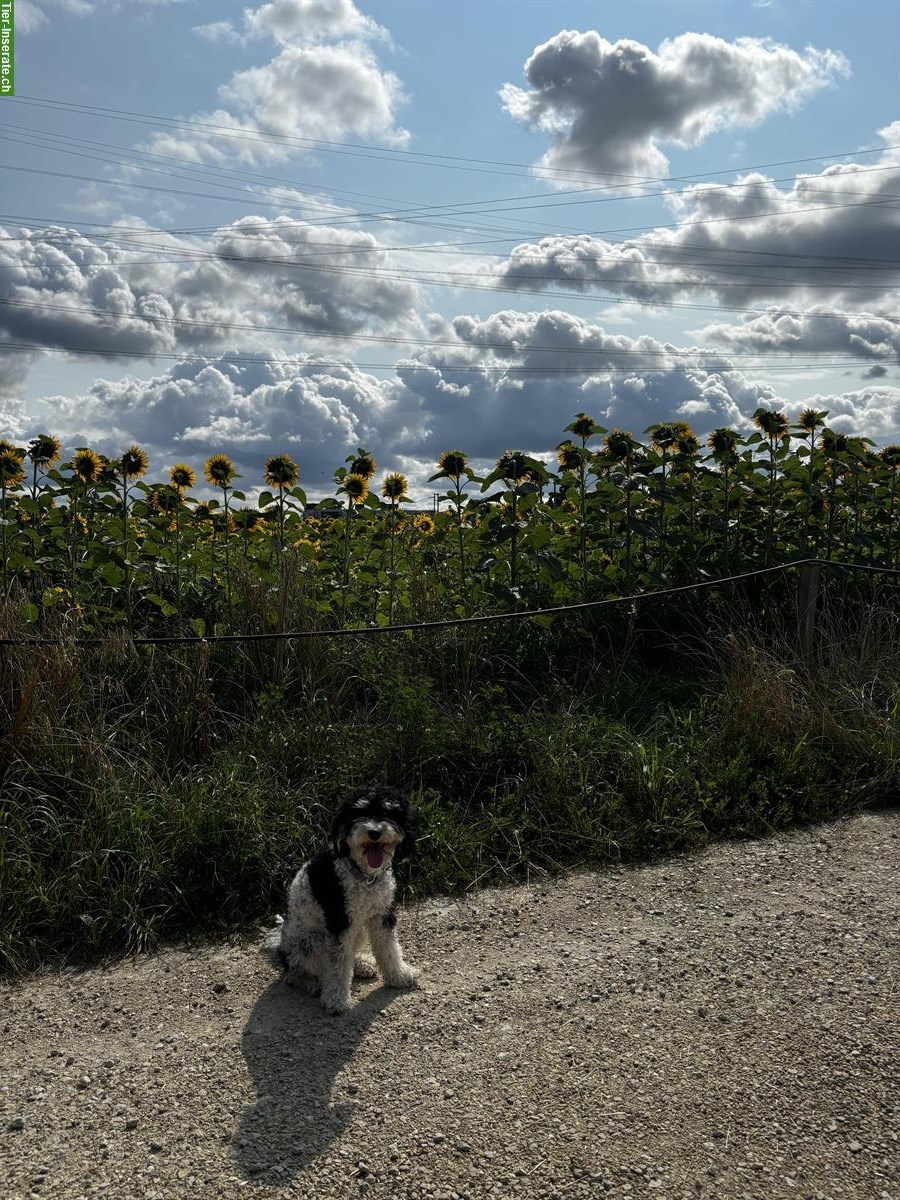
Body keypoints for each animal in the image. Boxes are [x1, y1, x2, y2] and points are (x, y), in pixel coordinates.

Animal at [267, 787, 422, 1012]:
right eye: (359, 813)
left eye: (387, 813)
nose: (374, 832)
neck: (363, 875)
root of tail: (280, 947)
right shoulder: (340, 922)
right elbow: (338, 966)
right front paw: (336, 999)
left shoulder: (382, 915)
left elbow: (389, 948)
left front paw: (400, 975)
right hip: (311, 942)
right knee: (294, 974)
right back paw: (311, 983)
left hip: (358, 930)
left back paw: (361, 964)